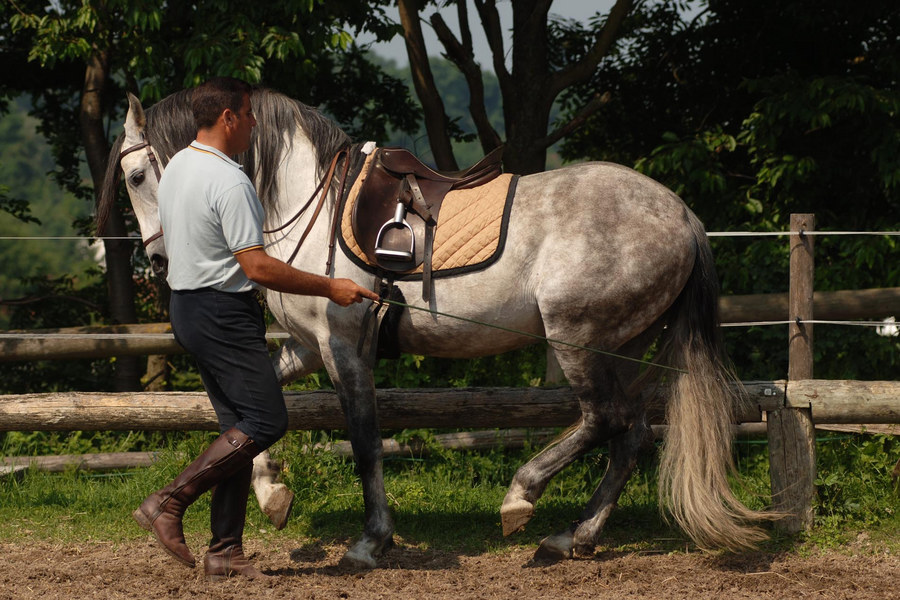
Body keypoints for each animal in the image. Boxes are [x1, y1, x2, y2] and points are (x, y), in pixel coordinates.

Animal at [100, 88, 772, 568]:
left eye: (137, 177)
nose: (159, 262)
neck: (308, 205)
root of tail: (682, 215)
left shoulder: (345, 349)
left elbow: (365, 442)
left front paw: (371, 542)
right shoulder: (308, 348)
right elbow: (254, 410)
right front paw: (272, 495)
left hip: (577, 338)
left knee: (604, 421)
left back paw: (522, 498)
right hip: (624, 346)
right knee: (630, 436)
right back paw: (572, 536)